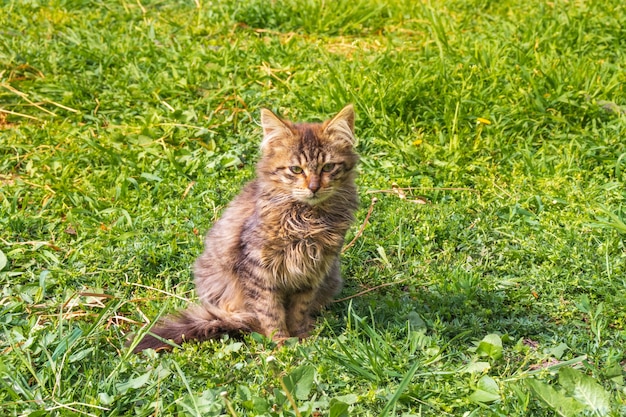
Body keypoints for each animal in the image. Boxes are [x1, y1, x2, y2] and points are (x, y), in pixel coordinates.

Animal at [130, 104, 356, 352]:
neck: (307, 218)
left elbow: (298, 311)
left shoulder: (312, 270)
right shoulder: (258, 269)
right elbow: (270, 313)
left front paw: (301, 337)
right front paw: (282, 344)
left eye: (328, 167)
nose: (314, 187)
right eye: (296, 169)